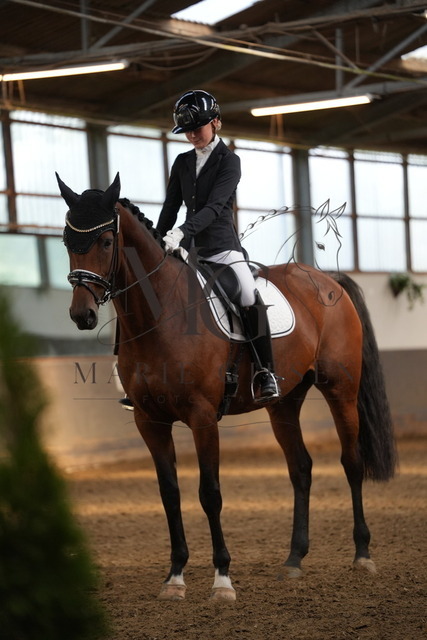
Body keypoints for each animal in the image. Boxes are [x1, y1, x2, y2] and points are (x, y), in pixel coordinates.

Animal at [57, 172, 396, 602]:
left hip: (340, 390)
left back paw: (362, 554)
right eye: (67, 241)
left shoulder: (203, 417)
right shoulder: (149, 421)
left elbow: (210, 492)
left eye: (104, 241)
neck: (160, 313)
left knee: (351, 462)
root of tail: (325, 279)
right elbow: (170, 494)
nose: (81, 315)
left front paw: (222, 579)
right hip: (284, 403)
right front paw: (175, 577)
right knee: (300, 468)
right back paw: (294, 560)